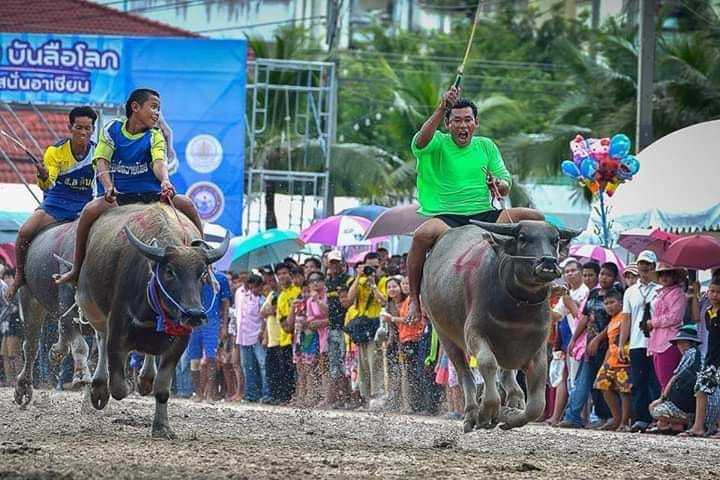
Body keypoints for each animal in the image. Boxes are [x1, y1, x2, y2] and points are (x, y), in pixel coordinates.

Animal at [14, 219, 93, 406]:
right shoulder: (67, 310)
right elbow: (80, 345)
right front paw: (81, 375)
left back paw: (56, 352)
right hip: (29, 298)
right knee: (31, 346)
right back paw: (24, 387)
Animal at [77, 202, 226, 438]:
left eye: (202, 273)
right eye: (170, 271)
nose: (194, 314)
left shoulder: (180, 341)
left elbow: (162, 387)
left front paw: (162, 427)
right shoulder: (117, 329)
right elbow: (118, 386)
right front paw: (115, 386)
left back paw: (145, 379)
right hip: (91, 306)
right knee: (100, 338)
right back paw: (99, 387)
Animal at [422, 220, 580, 432]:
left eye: (554, 240)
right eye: (523, 238)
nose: (548, 262)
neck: (518, 308)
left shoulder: (538, 348)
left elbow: (536, 406)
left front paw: (509, 417)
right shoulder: (474, 333)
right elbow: (488, 364)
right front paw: (486, 412)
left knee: (506, 374)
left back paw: (514, 400)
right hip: (444, 335)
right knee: (465, 374)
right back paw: (471, 413)